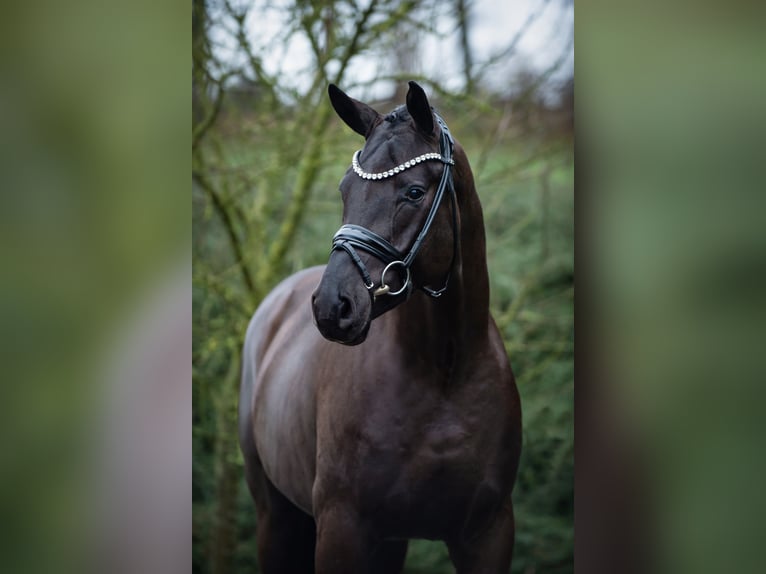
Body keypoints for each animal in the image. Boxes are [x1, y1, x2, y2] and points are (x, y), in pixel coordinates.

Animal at [239, 81, 521, 573]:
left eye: (413, 191)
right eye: (344, 189)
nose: (332, 306)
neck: (445, 375)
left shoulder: (487, 533)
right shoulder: (342, 530)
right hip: (275, 516)